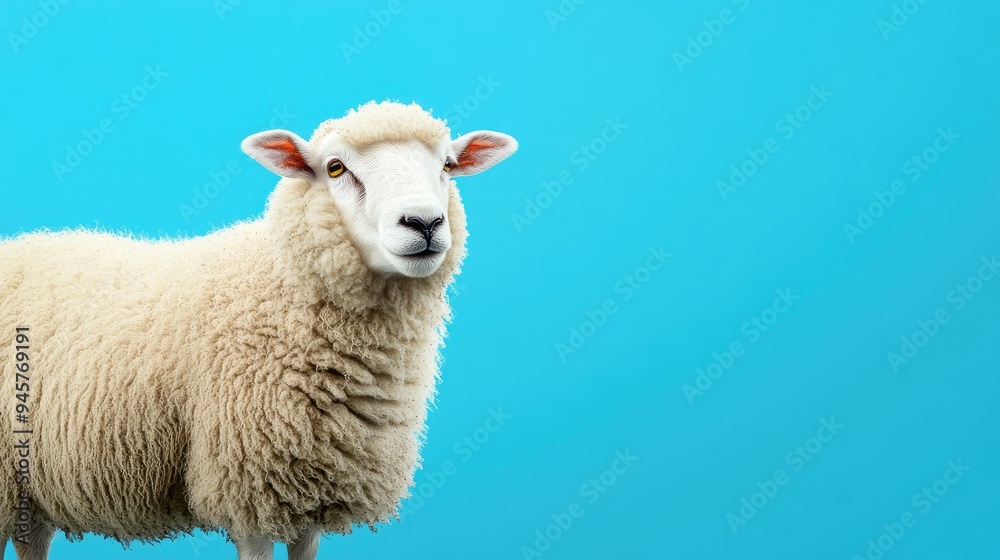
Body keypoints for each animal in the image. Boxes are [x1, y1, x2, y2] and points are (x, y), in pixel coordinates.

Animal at [0, 101, 518, 560]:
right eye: (335, 168)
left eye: (447, 165)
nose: (424, 223)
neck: (280, 287)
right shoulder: (247, 480)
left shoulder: (312, 486)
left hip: (30, 486)